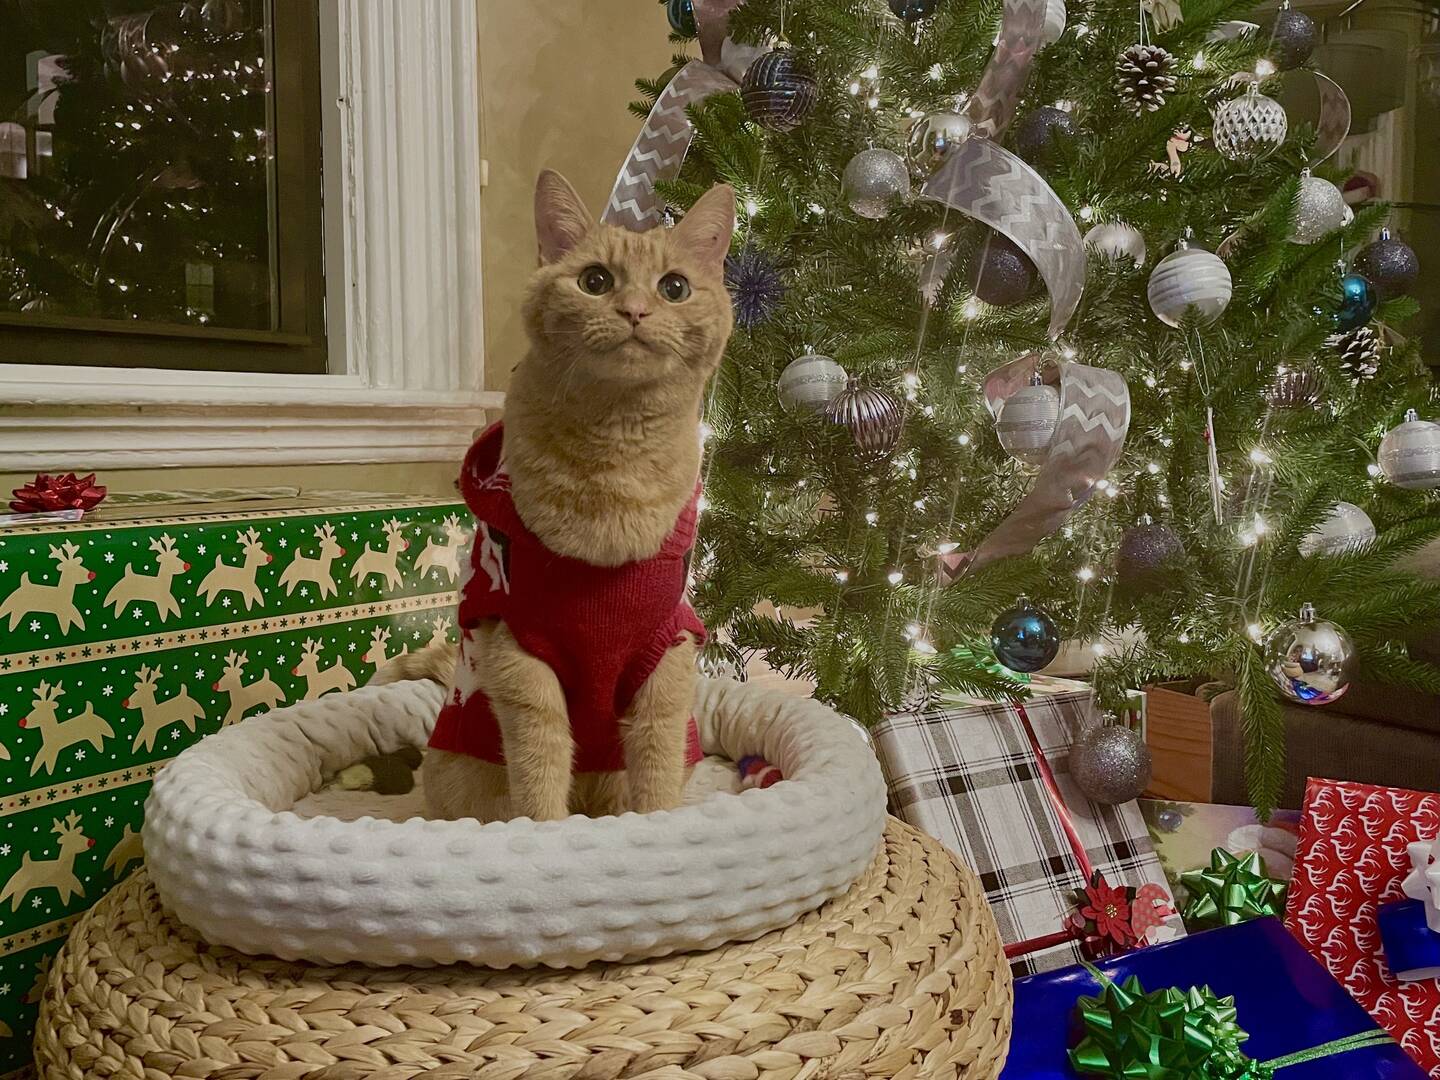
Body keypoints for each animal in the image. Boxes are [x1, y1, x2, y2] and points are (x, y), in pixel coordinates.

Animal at [377, 173, 737, 823]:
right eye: (595, 281)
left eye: (674, 287)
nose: (635, 310)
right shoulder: (521, 659)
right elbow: (540, 770)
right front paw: (547, 834)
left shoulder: (666, 659)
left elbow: (656, 773)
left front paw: (660, 829)